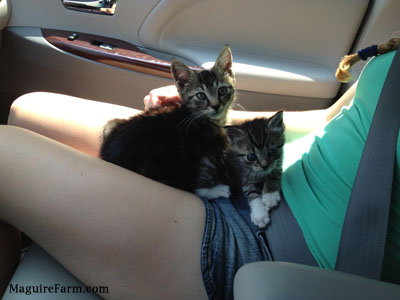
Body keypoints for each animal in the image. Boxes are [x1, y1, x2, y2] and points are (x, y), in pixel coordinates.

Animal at [101, 45, 238, 198]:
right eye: (201, 96)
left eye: (222, 90)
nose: (216, 106)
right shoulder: (208, 147)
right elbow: (200, 180)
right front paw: (215, 190)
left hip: (111, 124)